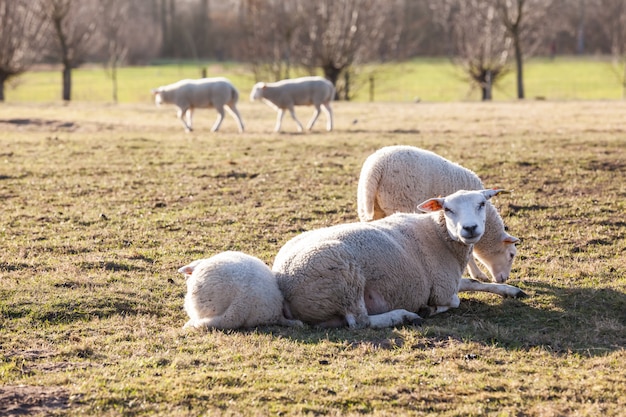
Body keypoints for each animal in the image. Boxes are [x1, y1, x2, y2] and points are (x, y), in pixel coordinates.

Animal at [270, 188, 524, 328]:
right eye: (448, 209)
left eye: (481, 203)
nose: (469, 228)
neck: (438, 234)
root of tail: (281, 283)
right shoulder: (442, 288)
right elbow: (454, 301)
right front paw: (429, 309)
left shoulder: (449, 279)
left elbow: (473, 282)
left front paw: (511, 290)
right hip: (344, 278)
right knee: (360, 322)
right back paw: (405, 316)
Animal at [356, 145, 516, 284]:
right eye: (511, 255)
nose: (504, 280)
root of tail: (376, 168)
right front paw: (478, 274)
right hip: (399, 202)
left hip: (368, 209)